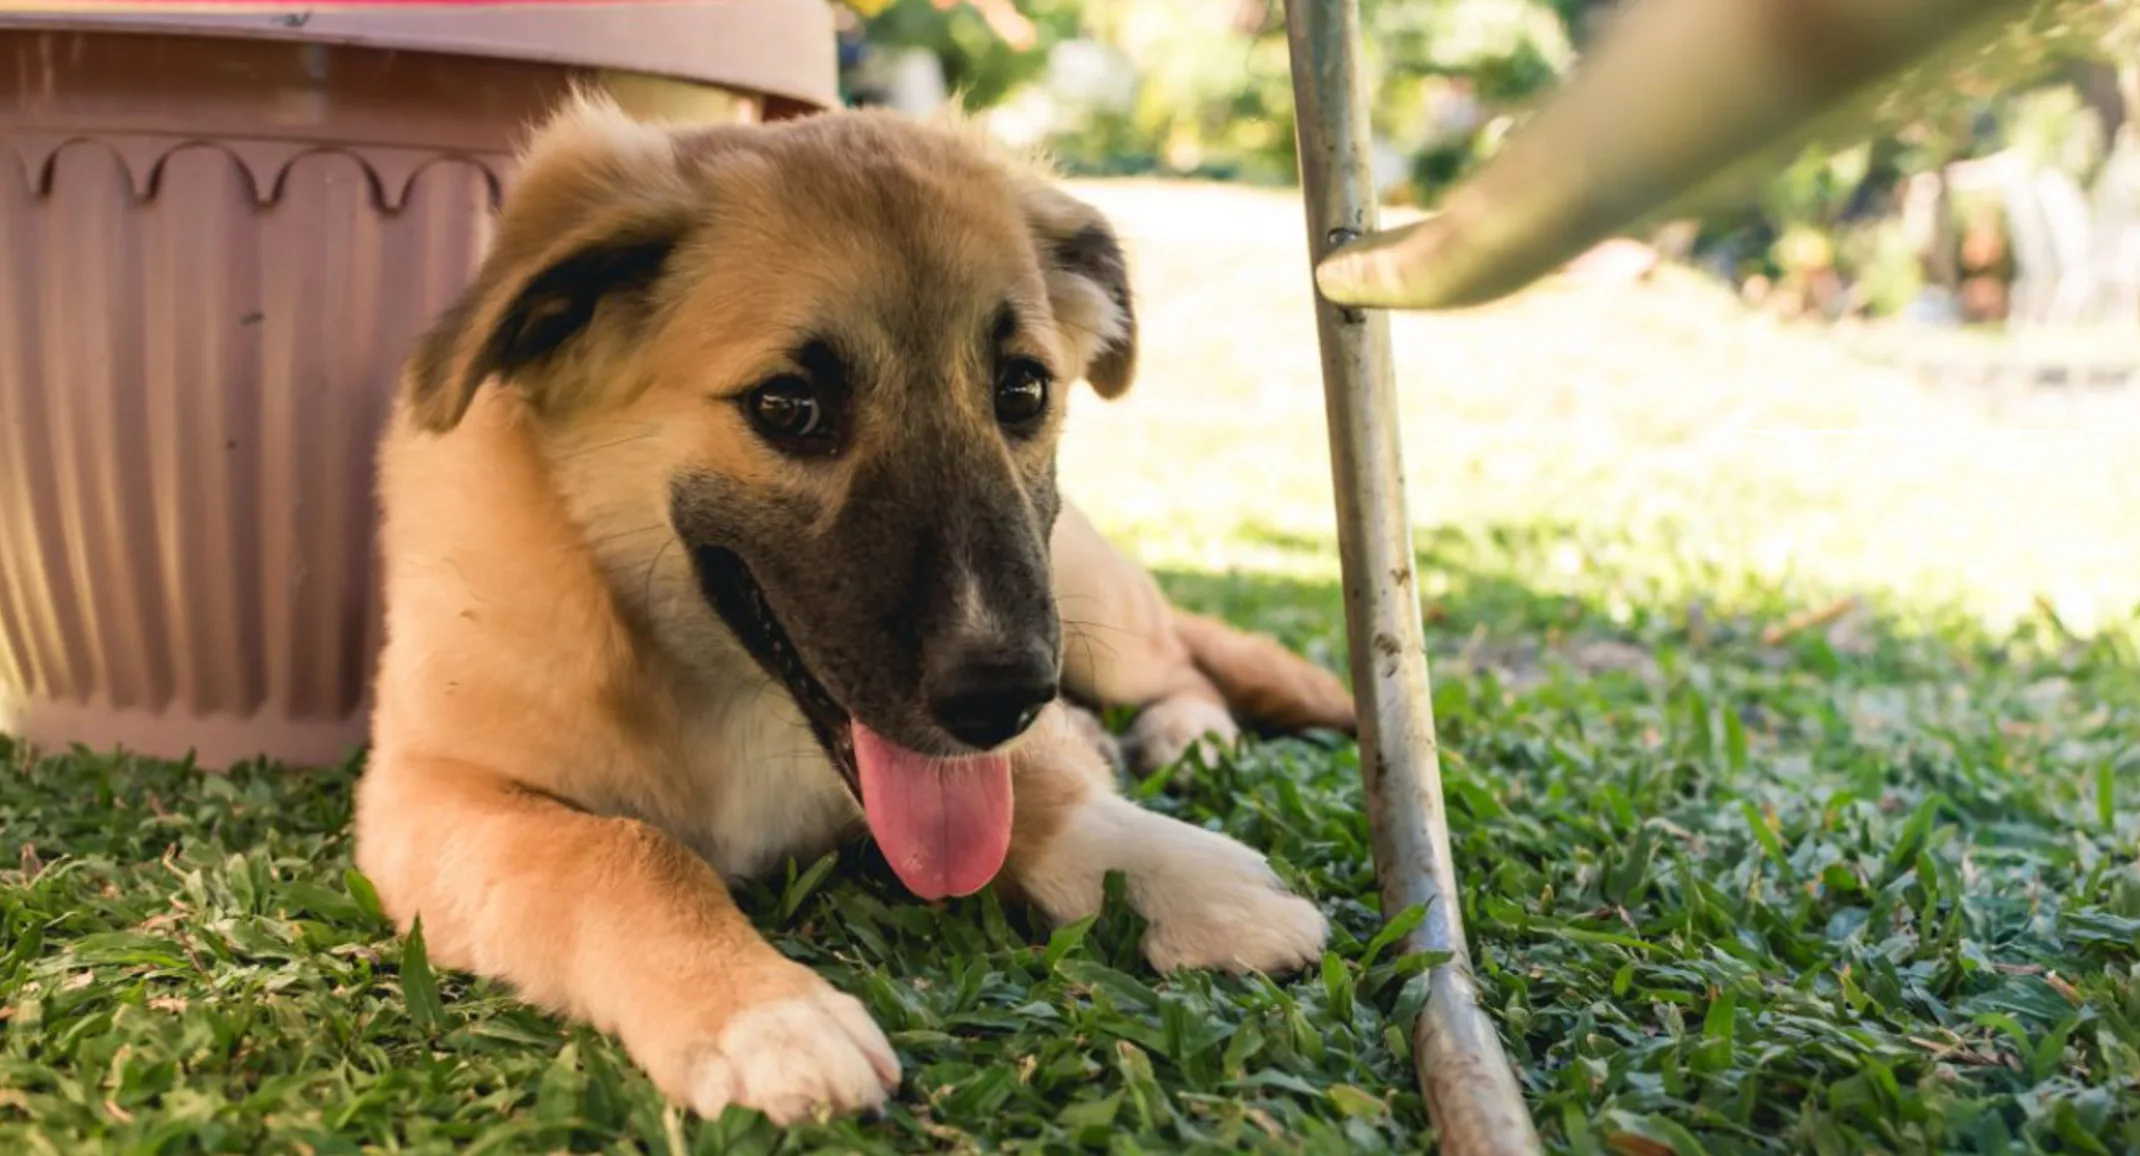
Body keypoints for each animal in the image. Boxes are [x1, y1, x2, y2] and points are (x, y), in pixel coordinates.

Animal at [353, 94, 1352, 1121]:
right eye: (787, 405)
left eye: (1022, 388)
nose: (1002, 697)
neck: (711, 685)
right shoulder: (429, 791)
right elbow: (619, 853)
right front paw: (760, 1013)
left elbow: (1031, 788)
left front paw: (1178, 871)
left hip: (1087, 604)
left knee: (1181, 663)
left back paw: (1186, 735)